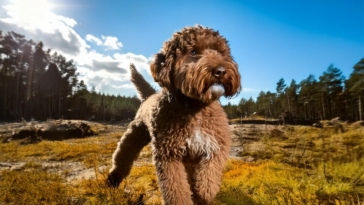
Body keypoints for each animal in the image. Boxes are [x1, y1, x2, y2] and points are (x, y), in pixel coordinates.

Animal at [106, 25, 240, 205]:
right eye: (193, 52)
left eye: (220, 52)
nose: (220, 71)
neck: (194, 107)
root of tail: (148, 97)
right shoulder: (169, 155)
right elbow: (176, 189)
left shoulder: (216, 145)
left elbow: (209, 175)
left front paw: (203, 192)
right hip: (133, 136)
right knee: (121, 159)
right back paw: (112, 181)